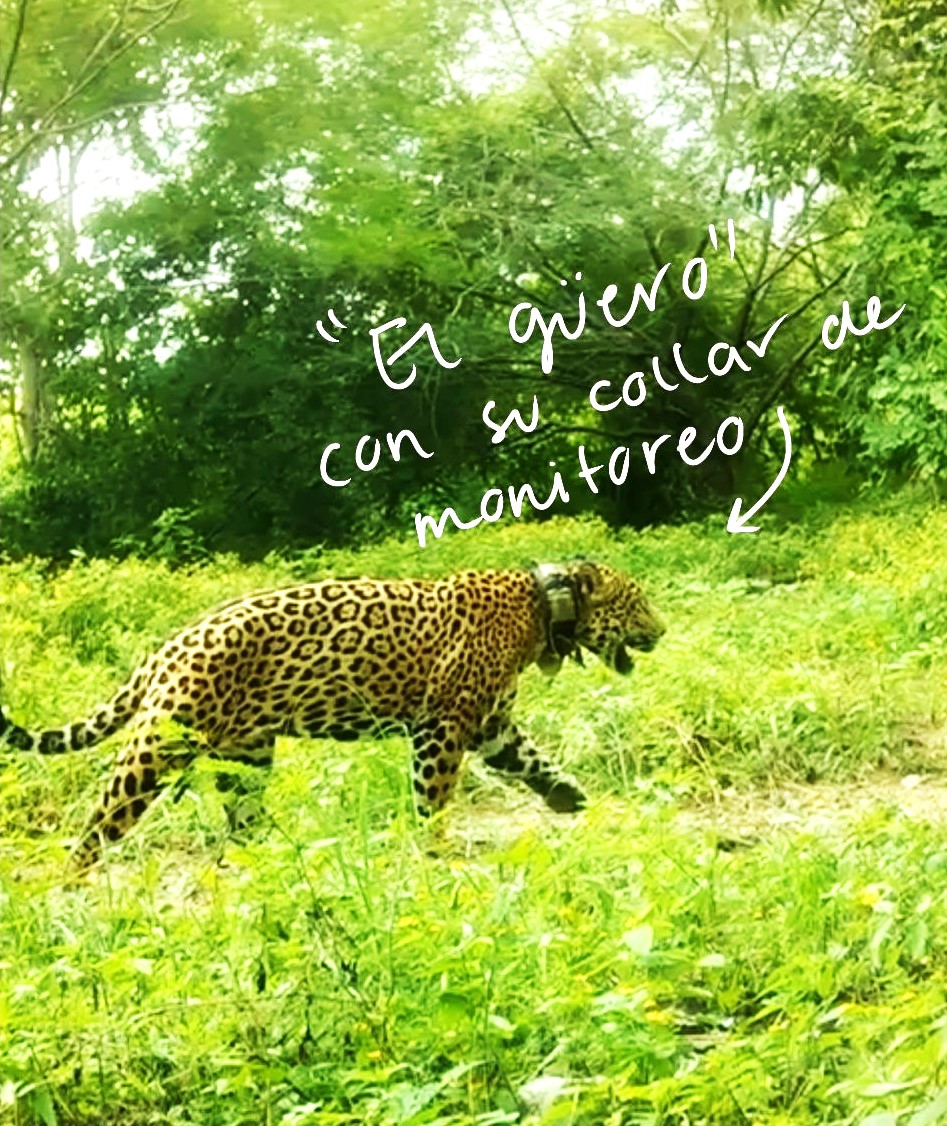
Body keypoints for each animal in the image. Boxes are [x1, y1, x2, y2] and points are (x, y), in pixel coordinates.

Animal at [0, 560, 665, 870]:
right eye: (637, 602)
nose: (662, 631)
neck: (544, 609)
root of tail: (167, 648)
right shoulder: (444, 725)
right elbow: (433, 795)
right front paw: (436, 848)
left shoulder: (491, 725)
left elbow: (534, 762)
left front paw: (573, 800)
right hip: (160, 746)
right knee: (101, 819)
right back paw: (73, 878)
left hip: (246, 757)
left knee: (240, 821)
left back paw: (260, 864)